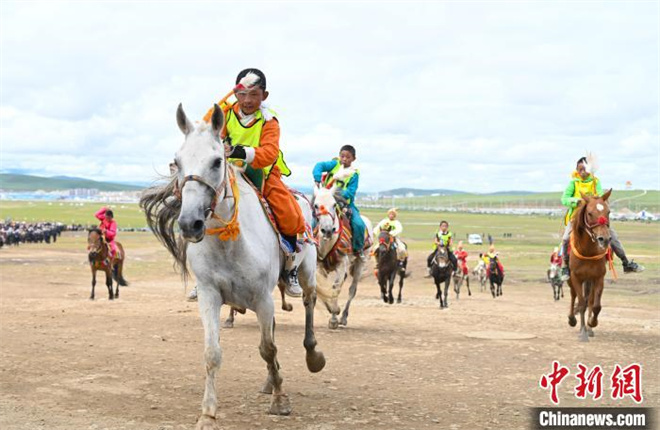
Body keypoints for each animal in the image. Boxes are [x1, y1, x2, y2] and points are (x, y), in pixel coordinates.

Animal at [140, 105, 324, 430]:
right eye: (177, 161)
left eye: (217, 161)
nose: (189, 224)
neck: (230, 244)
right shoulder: (210, 295)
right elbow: (213, 353)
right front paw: (208, 414)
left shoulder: (262, 298)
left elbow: (268, 347)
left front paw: (280, 401)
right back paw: (270, 380)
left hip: (307, 272)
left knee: (309, 302)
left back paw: (312, 355)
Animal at [310, 186, 372, 330]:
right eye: (316, 205)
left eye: (334, 205)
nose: (327, 230)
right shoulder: (319, 266)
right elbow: (322, 287)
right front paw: (330, 307)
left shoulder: (341, 265)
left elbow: (335, 288)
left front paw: (334, 316)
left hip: (360, 263)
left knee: (352, 290)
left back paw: (343, 317)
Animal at [568, 189, 612, 342]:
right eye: (590, 213)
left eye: (608, 212)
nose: (604, 239)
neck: (587, 251)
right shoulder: (576, 277)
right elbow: (581, 303)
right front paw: (582, 332)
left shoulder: (598, 278)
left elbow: (595, 305)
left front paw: (591, 324)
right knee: (573, 296)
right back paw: (571, 319)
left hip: (590, 280)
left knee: (591, 301)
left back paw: (589, 328)